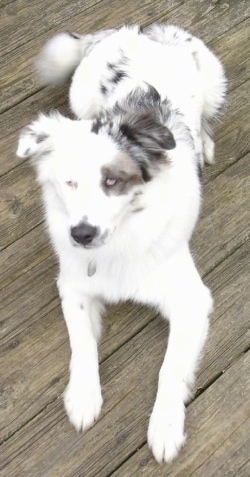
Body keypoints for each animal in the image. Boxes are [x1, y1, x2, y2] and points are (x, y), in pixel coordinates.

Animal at [16, 24, 227, 462]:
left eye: (113, 180)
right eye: (69, 182)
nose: (81, 234)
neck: (120, 242)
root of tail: (136, 29)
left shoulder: (192, 301)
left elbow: (169, 369)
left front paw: (165, 426)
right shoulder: (73, 287)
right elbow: (81, 343)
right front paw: (83, 396)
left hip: (216, 82)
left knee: (206, 119)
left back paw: (206, 143)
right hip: (79, 93)